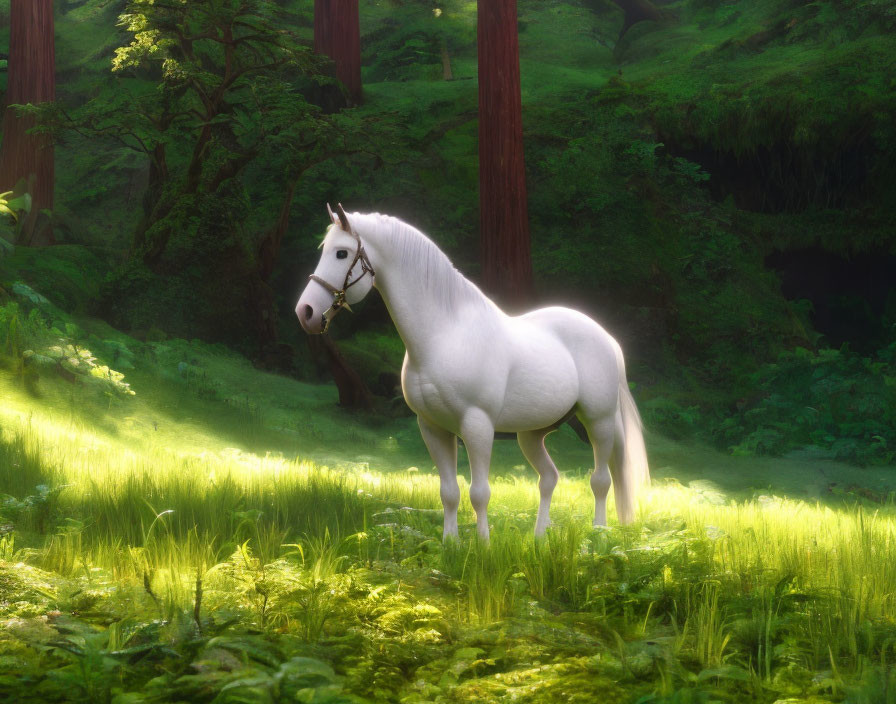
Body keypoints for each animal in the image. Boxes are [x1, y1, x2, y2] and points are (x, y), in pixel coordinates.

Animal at [298, 204, 648, 540]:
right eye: (324, 249)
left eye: (341, 253)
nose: (306, 312)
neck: (444, 335)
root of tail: (607, 339)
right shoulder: (433, 427)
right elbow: (449, 492)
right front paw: (450, 546)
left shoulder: (477, 425)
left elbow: (479, 493)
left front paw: (483, 546)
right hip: (532, 434)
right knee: (549, 477)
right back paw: (539, 538)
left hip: (599, 421)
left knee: (601, 480)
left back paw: (599, 535)